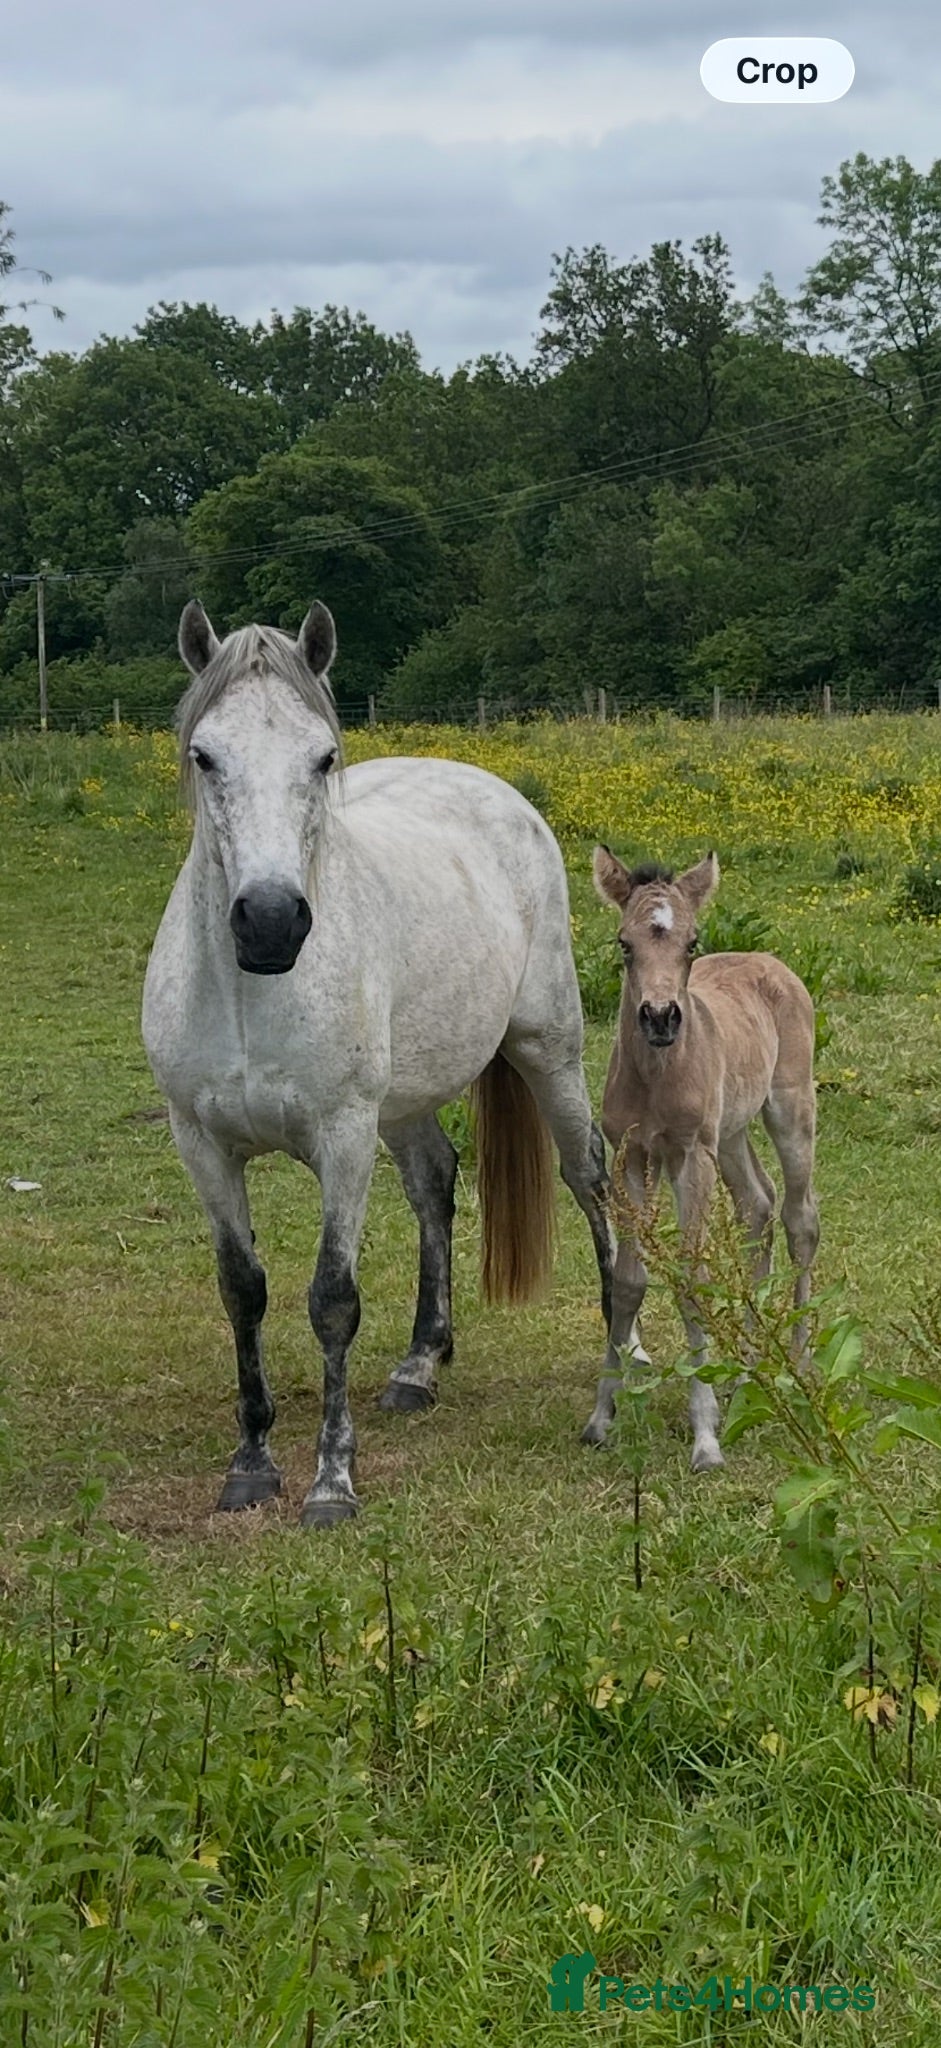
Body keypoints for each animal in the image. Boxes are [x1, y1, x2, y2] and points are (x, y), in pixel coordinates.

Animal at [141, 600, 615, 1527]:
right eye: (203, 755)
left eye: (322, 756)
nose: (270, 921)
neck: (254, 994)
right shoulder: (201, 1144)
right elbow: (241, 1289)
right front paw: (250, 1465)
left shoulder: (344, 1138)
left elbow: (332, 1300)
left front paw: (332, 1480)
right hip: (407, 1103)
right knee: (435, 1181)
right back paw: (418, 1366)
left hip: (547, 1051)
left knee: (592, 1178)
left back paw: (632, 1358)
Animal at [582, 848, 819, 1473]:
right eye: (624, 944)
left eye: (692, 942)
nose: (660, 1017)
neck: (657, 1078)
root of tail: (768, 960)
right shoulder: (633, 1156)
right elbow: (629, 1282)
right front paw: (602, 1416)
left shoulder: (690, 1156)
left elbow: (693, 1279)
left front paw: (706, 1436)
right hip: (730, 1133)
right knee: (757, 1205)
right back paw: (744, 1362)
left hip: (788, 1109)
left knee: (799, 1219)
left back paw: (797, 1362)